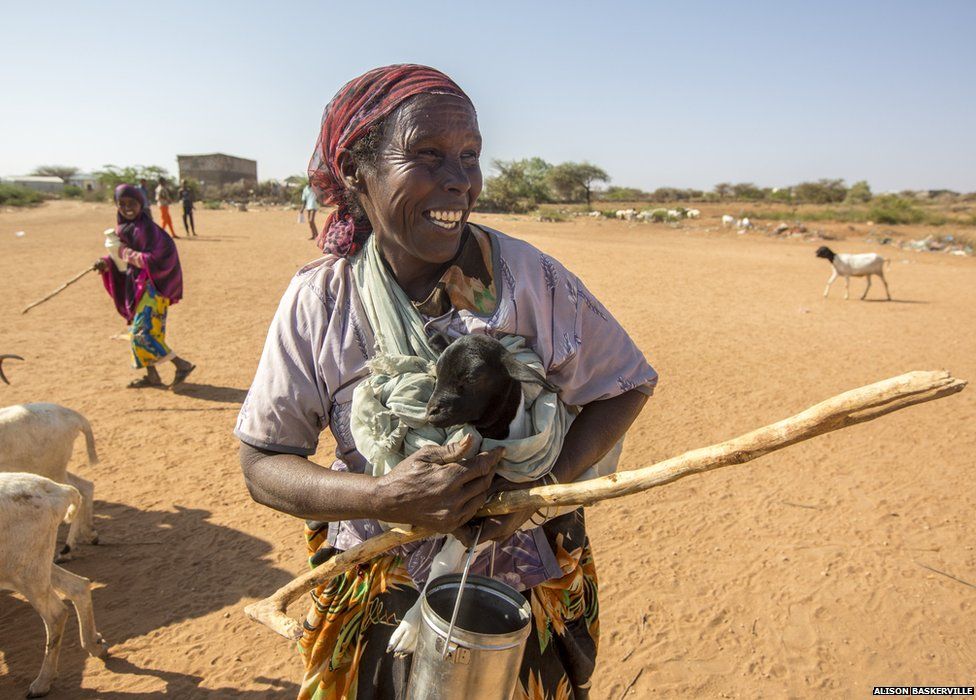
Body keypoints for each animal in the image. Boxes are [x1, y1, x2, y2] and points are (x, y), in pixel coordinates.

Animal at [0, 404, 100, 556]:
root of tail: (73, 416)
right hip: (54, 470)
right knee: (86, 486)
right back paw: (90, 536)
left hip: (52, 471)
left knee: (79, 492)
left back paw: (66, 550)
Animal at [0, 474, 108, 696]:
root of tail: (59, 491)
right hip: (36, 564)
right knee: (79, 586)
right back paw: (96, 646)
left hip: (25, 574)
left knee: (56, 614)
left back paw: (42, 684)